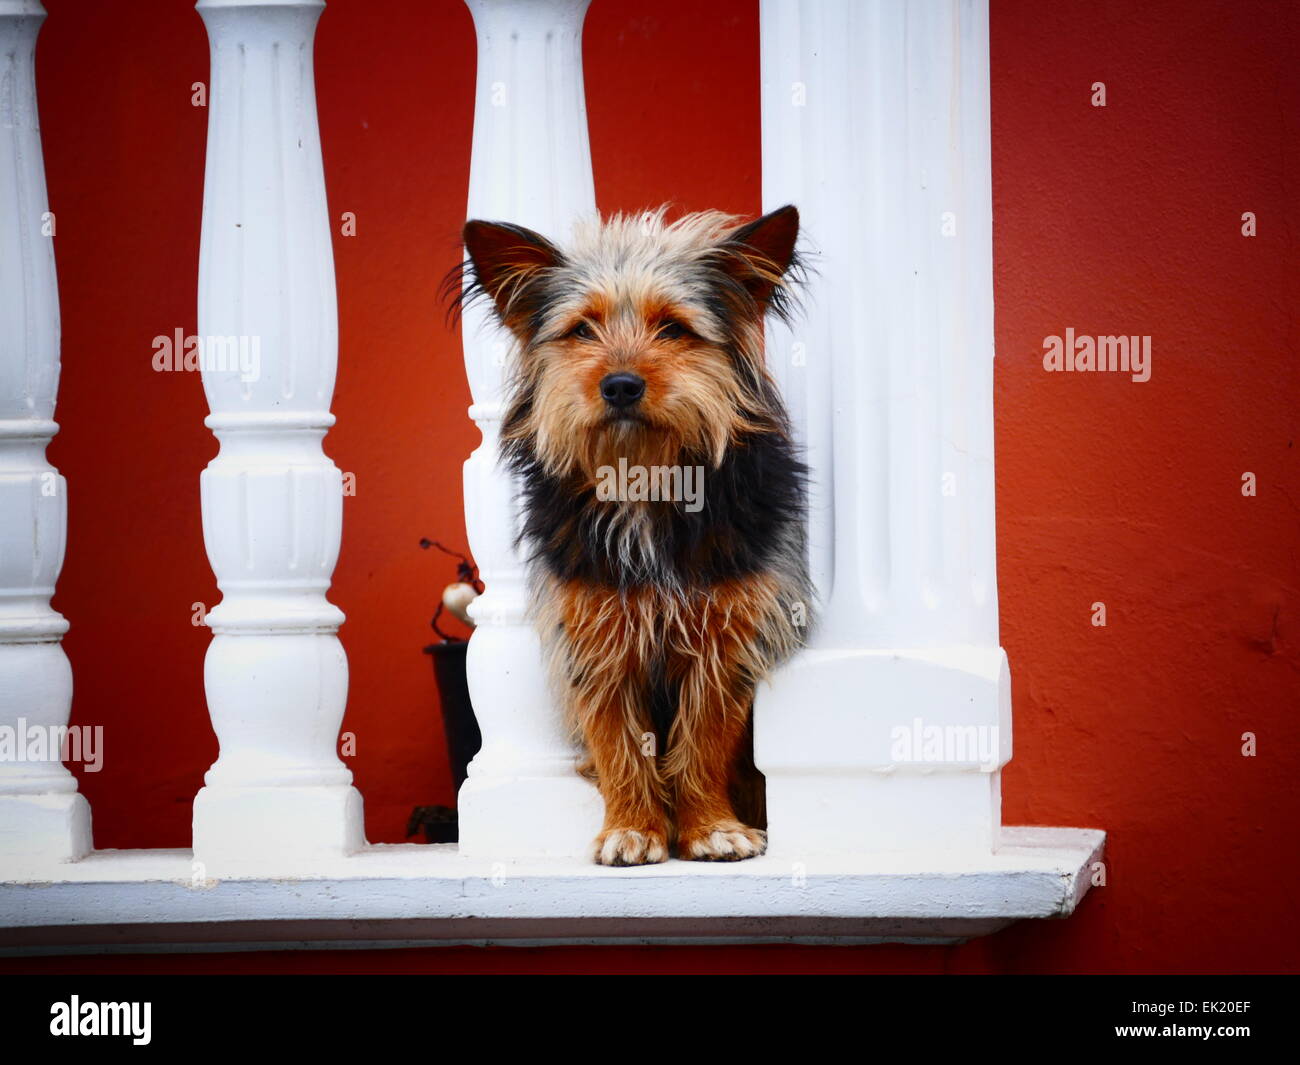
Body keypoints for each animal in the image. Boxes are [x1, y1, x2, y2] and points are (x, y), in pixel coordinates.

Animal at [454, 206, 811, 868]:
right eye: (581, 330)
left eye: (672, 329)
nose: (620, 384)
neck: (642, 481)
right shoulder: (594, 637)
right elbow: (618, 739)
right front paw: (633, 827)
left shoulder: (729, 633)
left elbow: (705, 736)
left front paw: (710, 828)